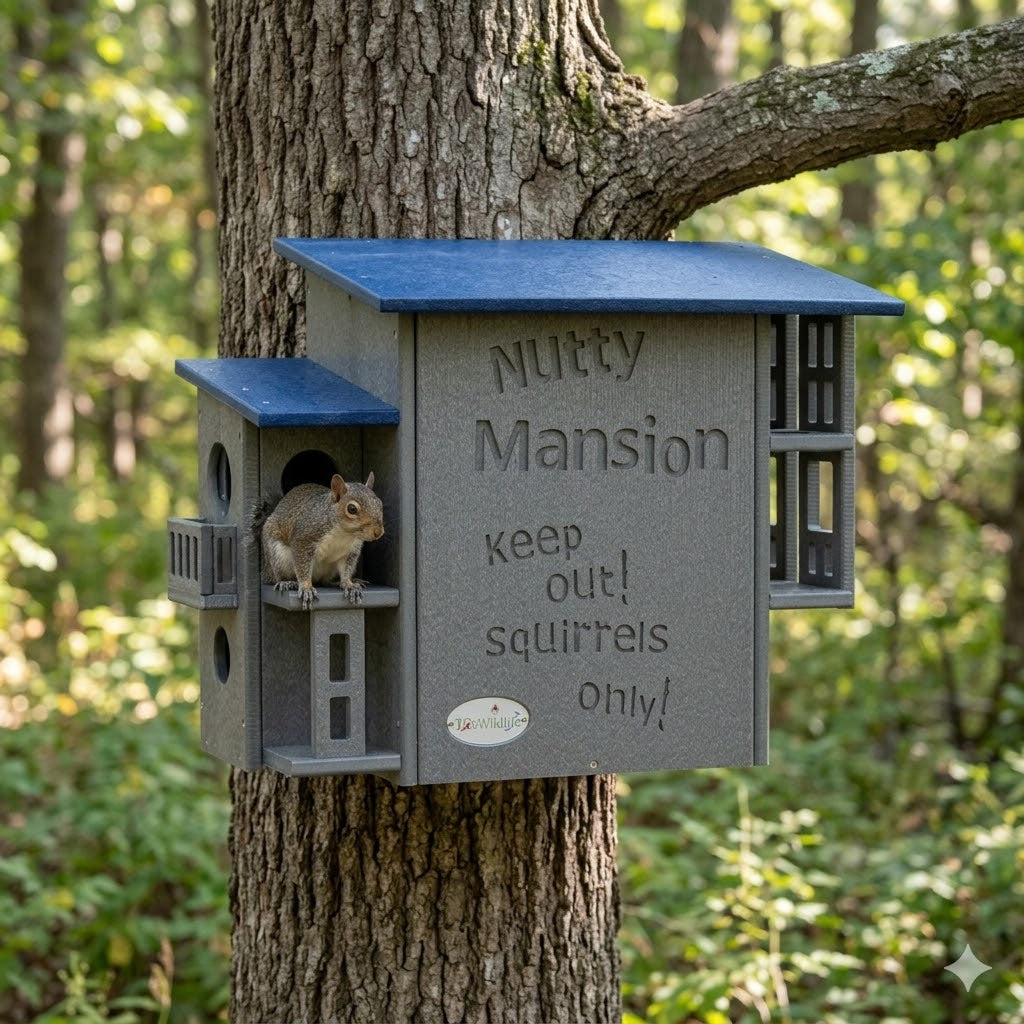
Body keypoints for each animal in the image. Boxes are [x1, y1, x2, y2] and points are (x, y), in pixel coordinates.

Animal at [255, 473, 384, 609]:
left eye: (380, 503)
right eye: (352, 509)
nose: (378, 532)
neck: (344, 533)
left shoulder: (351, 550)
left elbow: (346, 569)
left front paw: (349, 584)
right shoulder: (304, 539)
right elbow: (302, 566)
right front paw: (306, 588)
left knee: (325, 581)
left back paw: (345, 581)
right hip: (278, 554)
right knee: (278, 575)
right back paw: (286, 582)